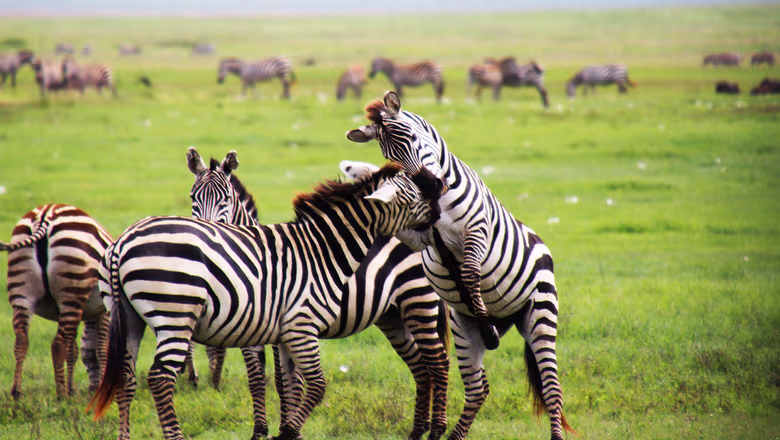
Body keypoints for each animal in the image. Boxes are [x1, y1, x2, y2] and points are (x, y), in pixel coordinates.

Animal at [2, 204, 112, 400]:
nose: (93, 388)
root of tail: (46, 214)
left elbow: (75, 350)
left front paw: (74, 388)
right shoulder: (103, 312)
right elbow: (100, 349)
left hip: (22, 291)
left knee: (21, 340)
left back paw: (17, 392)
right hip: (72, 286)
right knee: (57, 345)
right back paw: (61, 395)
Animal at [88, 163, 450, 440]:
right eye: (413, 195)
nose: (439, 203)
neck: (322, 250)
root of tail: (122, 241)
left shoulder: (285, 332)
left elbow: (289, 383)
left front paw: (287, 430)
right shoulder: (301, 326)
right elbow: (313, 385)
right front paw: (284, 431)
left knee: (126, 375)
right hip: (174, 316)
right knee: (160, 377)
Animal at [346, 91, 576, 440]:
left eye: (412, 138)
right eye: (390, 156)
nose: (429, 186)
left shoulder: (477, 231)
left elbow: (468, 273)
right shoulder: (422, 238)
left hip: (541, 314)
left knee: (552, 389)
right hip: (463, 329)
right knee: (478, 389)